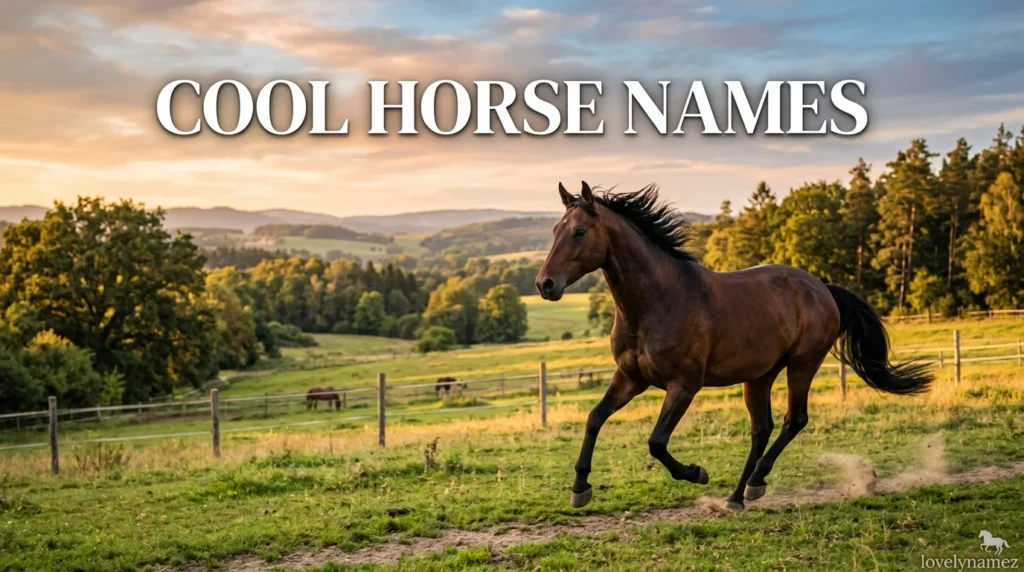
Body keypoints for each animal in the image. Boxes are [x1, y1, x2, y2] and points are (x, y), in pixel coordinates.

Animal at [535, 182, 932, 511]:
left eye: (580, 232)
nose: (545, 284)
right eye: (555, 231)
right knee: (762, 429)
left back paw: (756, 482)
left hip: (802, 364)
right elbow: (594, 418)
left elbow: (656, 441)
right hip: (759, 376)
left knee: (794, 420)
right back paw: (738, 496)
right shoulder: (630, 378)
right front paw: (579, 489)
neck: (655, 303)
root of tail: (822, 288)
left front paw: (696, 473)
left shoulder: (684, 385)